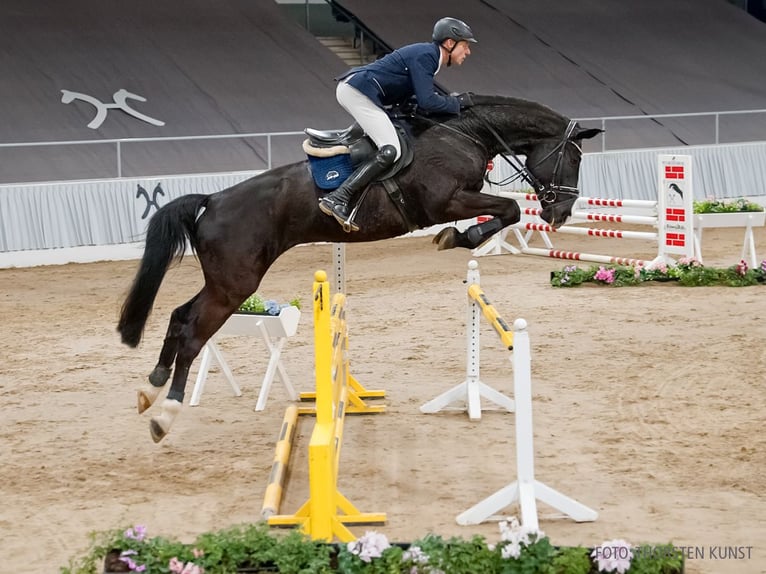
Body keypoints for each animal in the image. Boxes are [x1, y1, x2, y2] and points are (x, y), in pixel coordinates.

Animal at [117, 94, 601, 442]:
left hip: (225, 281)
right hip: (234, 284)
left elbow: (507, 211)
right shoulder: (446, 201)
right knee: (193, 332)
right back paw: (165, 414)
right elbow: (510, 209)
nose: (561, 212)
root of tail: (212, 200)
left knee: (179, 316)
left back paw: (150, 387)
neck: (465, 133)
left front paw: (458, 238)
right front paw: (458, 237)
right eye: (574, 158)